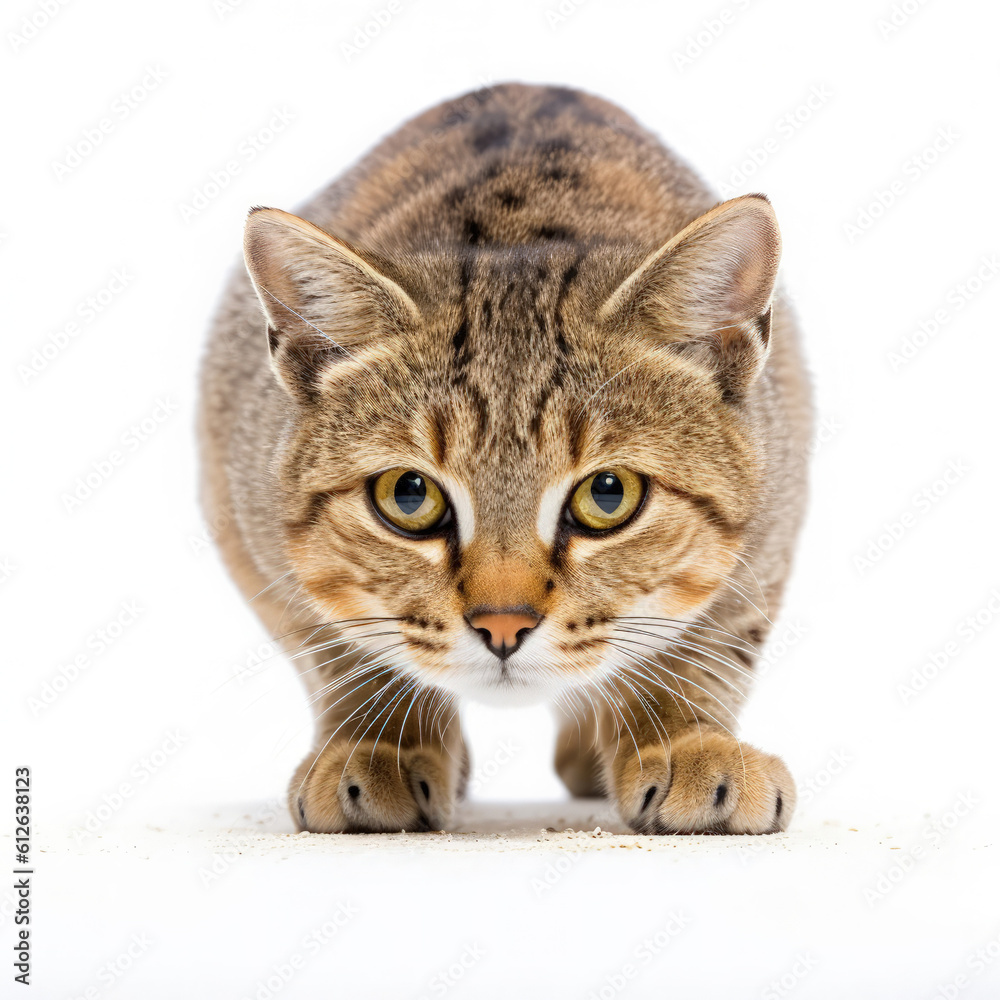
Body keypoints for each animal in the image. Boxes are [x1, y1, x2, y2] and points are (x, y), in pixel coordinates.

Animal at [197, 84, 812, 836]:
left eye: (608, 494)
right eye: (409, 495)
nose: (503, 627)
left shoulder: (771, 533)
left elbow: (701, 646)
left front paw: (685, 739)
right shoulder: (247, 521)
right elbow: (342, 641)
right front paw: (380, 742)